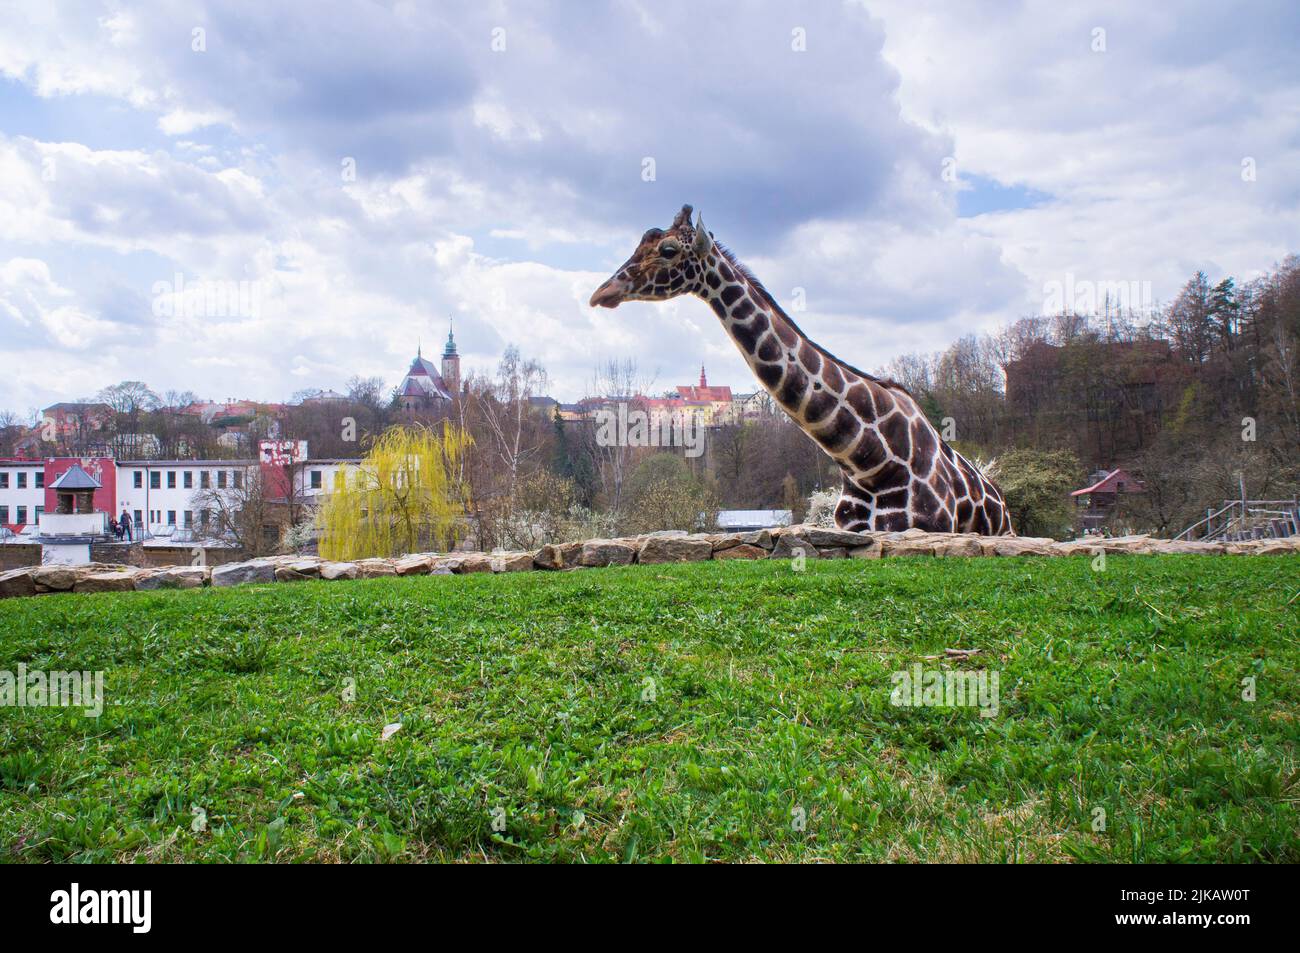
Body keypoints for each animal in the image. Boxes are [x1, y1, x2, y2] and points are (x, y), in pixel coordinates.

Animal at [589, 205, 1015, 535]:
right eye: (642, 241)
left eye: (668, 249)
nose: (601, 293)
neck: (869, 460)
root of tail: (1001, 498)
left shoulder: (921, 529)